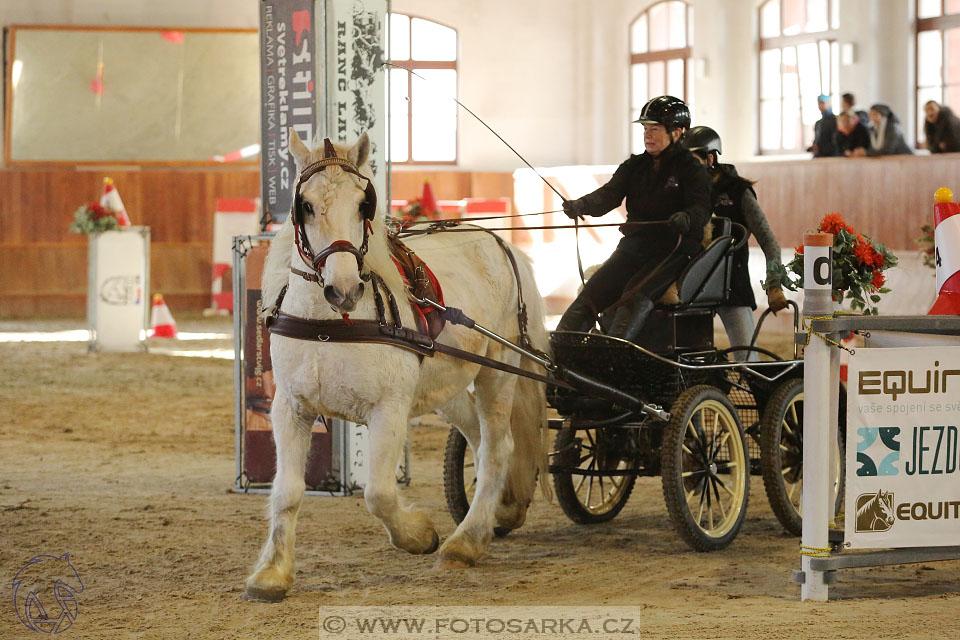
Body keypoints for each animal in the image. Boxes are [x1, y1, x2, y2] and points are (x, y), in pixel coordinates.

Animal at [244, 130, 552, 600]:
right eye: (306, 206)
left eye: (362, 203)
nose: (344, 290)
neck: (330, 324)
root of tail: (502, 244)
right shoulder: (291, 408)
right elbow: (288, 491)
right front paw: (272, 572)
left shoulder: (388, 410)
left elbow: (379, 493)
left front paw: (419, 536)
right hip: (447, 385)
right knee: (480, 441)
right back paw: (495, 513)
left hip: (498, 370)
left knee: (499, 447)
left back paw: (464, 543)